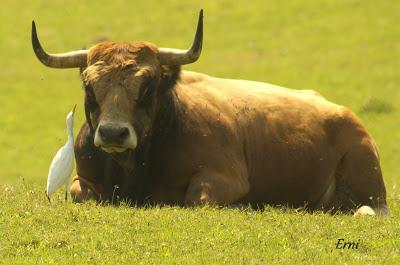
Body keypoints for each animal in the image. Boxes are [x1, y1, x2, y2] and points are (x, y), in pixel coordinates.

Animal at [32, 10, 388, 213]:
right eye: (88, 86)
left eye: (147, 84)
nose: (113, 133)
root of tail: (343, 113)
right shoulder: (82, 181)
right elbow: (78, 193)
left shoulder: (224, 179)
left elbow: (197, 199)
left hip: (370, 187)